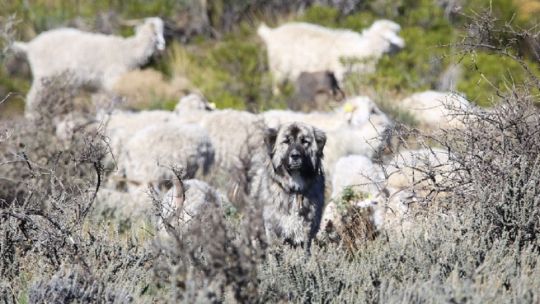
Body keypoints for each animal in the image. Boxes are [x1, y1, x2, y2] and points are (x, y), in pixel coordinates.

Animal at [12, 18, 165, 115]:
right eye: (155, 32)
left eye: (163, 30)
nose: (163, 45)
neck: (128, 49)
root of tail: (30, 46)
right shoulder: (112, 79)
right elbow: (116, 100)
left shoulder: (98, 86)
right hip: (43, 76)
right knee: (32, 99)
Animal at [251, 121, 326, 249]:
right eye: (286, 141)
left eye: (304, 141)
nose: (295, 156)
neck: (294, 190)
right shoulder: (274, 232)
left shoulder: (306, 233)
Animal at [258, 19, 404, 89]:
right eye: (392, 37)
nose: (403, 44)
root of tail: (271, 33)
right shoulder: (340, 75)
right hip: (278, 68)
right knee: (276, 88)